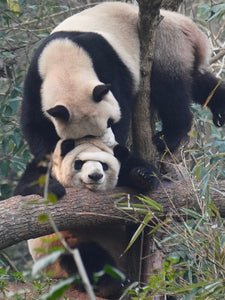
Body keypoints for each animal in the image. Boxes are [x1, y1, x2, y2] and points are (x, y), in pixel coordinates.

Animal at [15, 1, 225, 197]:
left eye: (110, 123)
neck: (65, 65)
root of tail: (183, 23)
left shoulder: (106, 61)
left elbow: (122, 104)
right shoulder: (36, 81)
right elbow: (35, 126)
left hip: (165, 45)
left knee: (169, 90)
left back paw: (166, 138)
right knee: (198, 82)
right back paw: (219, 108)